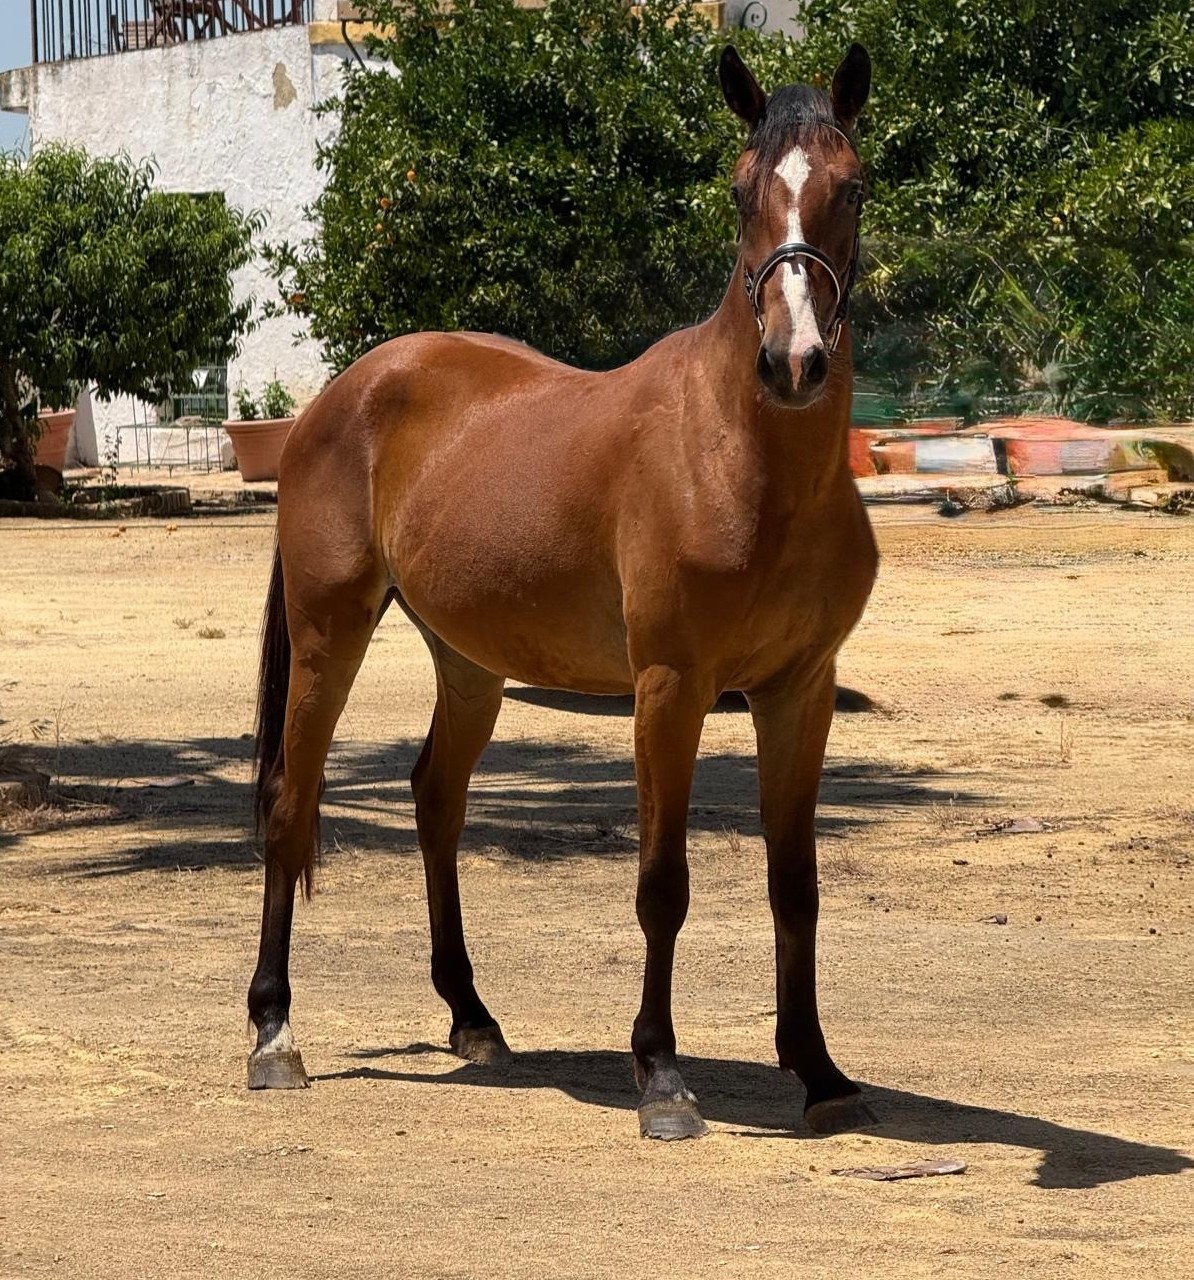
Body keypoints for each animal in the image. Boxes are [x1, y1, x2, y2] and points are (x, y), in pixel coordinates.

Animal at [248, 42, 878, 1141]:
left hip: (469, 663)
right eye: (740, 190)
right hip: (331, 631)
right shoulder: (669, 688)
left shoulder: (799, 692)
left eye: (850, 187)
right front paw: (662, 1076)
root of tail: (343, 391)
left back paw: (472, 1015)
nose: (794, 361)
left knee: (435, 798)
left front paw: (818, 1069)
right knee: (293, 804)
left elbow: (794, 883)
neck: (746, 460)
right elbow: (662, 883)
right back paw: (275, 1034)